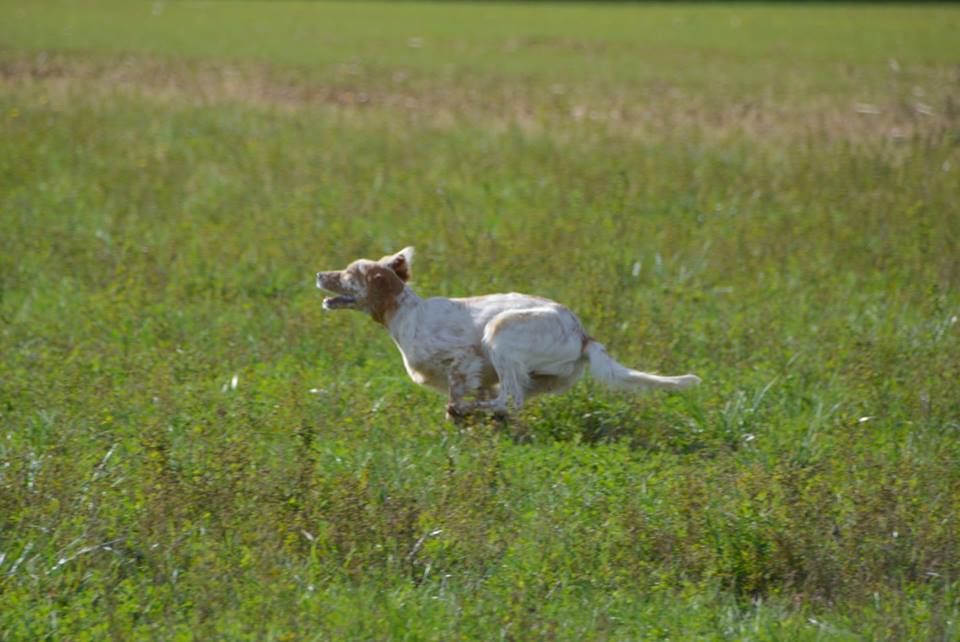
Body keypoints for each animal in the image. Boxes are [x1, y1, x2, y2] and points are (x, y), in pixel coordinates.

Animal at [318, 246, 700, 420]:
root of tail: (583, 334)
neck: (407, 313)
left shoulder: (463, 359)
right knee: (513, 400)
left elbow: (457, 393)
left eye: (349, 273)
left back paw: (477, 410)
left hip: (501, 331)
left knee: (510, 399)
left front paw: (460, 411)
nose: (320, 274)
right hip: (548, 376)